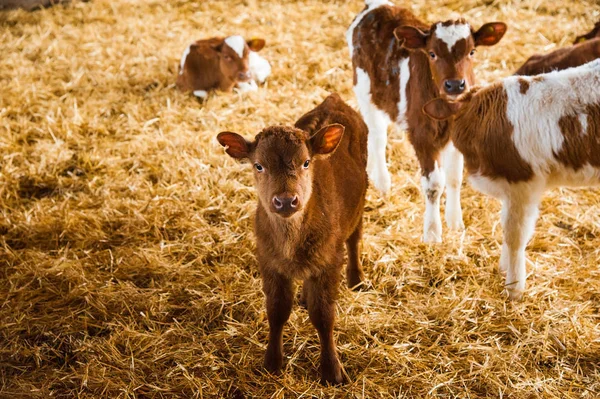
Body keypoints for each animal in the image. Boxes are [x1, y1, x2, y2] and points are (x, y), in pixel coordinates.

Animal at [216, 94, 366, 384]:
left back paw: (357, 279)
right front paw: (272, 363)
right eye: (258, 165)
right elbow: (276, 311)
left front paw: (332, 370)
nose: (285, 201)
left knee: (354, 237)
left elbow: (324, 316)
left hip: (362, 198)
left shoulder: (328, 262)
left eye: (306, 162)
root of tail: (333, 100)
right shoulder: (269, 262)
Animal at [346, 0, 506, 244]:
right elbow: (434, 185)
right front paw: (432, 233)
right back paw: (382, 182)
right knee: (377, 136)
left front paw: (455, 223)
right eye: (432, 53)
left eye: (472, 51)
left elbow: (454, 178)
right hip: (365, 91)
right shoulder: (423, 138)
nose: (455, 85)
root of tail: (377, 6)